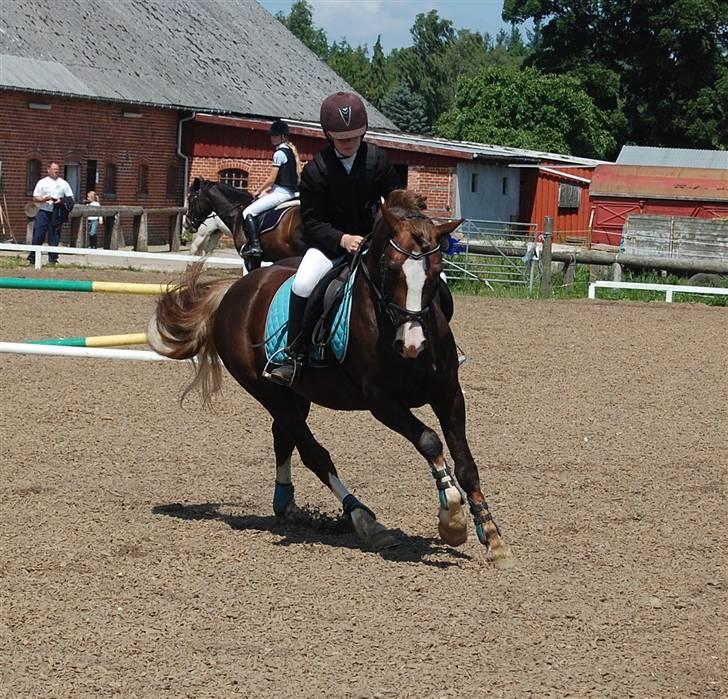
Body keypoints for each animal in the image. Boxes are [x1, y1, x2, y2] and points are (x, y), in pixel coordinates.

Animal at [149, 190, 512, 564]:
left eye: (437, 271)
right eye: (390, 268)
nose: (412, 344)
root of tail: (235, 290)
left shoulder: (449, 394)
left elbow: (466, 463)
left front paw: (492, 534)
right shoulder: (382, 402)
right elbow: (429, 441)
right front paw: (451, 517)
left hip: (295, 394)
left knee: (284, 435)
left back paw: (287, 505)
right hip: (266, 391)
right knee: (314, 453)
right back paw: (366, 522)